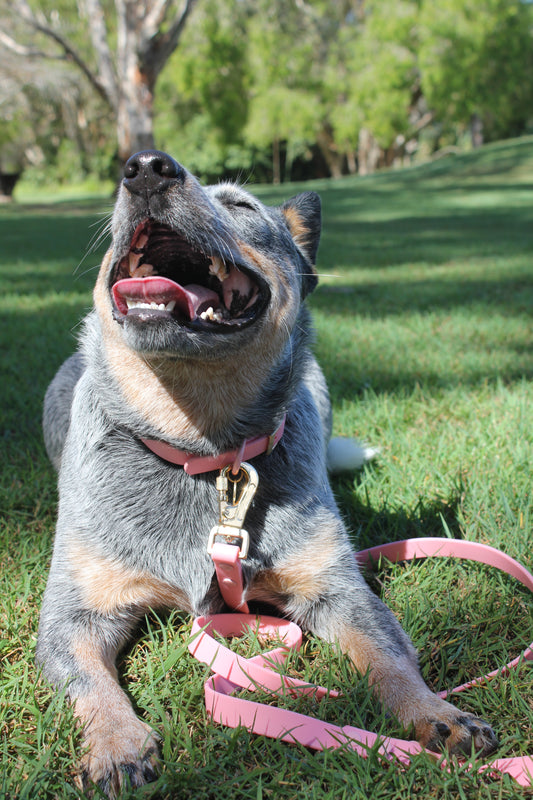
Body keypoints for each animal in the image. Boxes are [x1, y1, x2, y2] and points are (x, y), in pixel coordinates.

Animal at [38, 150, 498, 792]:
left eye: (240, 205)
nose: (147, 166)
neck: (202, 452)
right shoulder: (74, 611)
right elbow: (89, 678)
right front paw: (115, 742)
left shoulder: (335, 587)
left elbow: (389, 655)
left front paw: (436, 712)